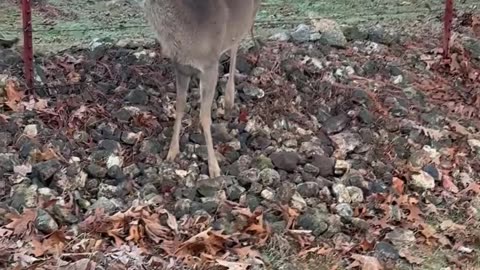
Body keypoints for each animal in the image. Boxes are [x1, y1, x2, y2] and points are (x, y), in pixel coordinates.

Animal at [142, 1, 262, 178]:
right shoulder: (181, 68)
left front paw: (214, 168)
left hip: (249, 16)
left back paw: (229, 99)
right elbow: (179, 108)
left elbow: (205, 117)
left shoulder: (210, 66)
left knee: (237, 42)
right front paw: (172, 152)